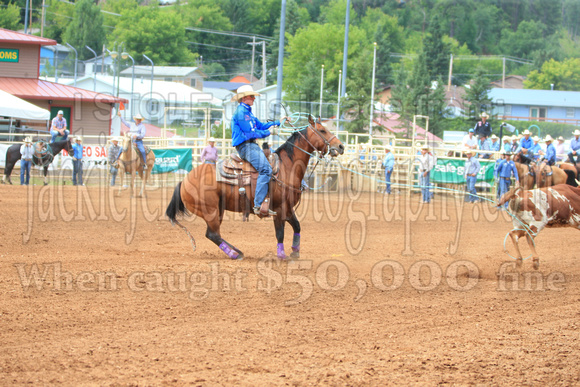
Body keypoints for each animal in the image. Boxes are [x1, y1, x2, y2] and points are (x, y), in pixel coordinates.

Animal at [164, 115, 344, 260]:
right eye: (322, 130)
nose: (341, 146)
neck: (286, 167)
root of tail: (184, 181)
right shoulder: (278, 209)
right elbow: (280, 233)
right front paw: (282, 255)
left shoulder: (288, 208)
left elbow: (297, 226)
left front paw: (295, 251)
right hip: (210, 211)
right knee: (213, 234)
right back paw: (234, 254)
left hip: (218, 210)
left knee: (215, 234)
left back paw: (237, 250)